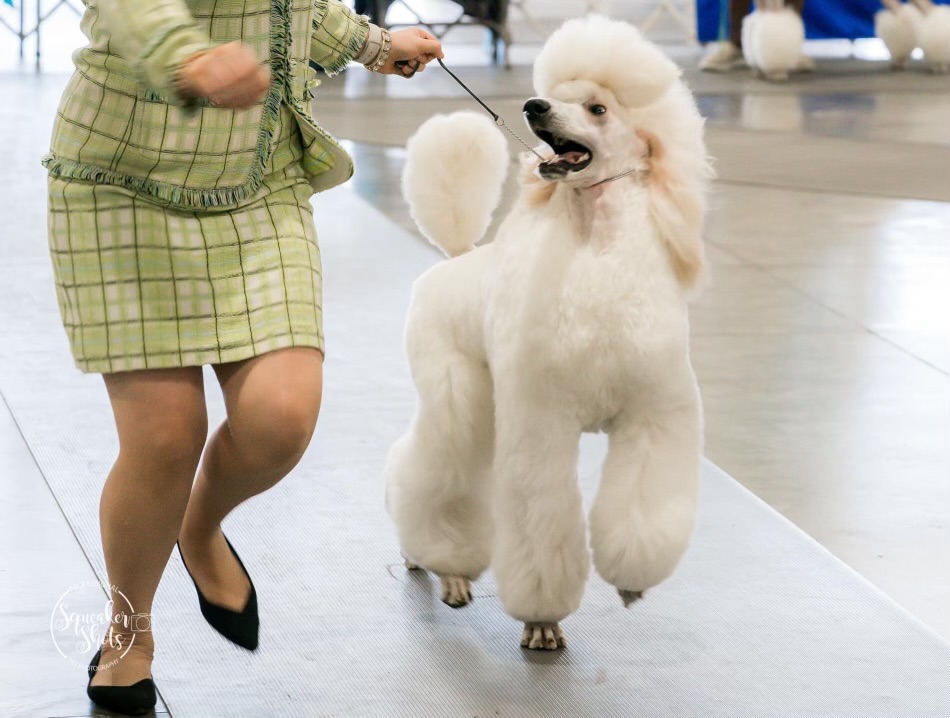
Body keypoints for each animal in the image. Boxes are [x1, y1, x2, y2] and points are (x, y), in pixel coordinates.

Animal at [385, 15, 712, 650]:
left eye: (597, 108)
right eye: (556, 96)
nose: (534, 107)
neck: (597, 254)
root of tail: (455, 259)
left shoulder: (653, 413)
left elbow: (642, 502)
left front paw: (632, 580)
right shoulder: (541, 419)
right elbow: (541, 516)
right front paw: (541, 621)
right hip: (457, 394)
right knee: (427, 470)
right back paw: (443, 567)